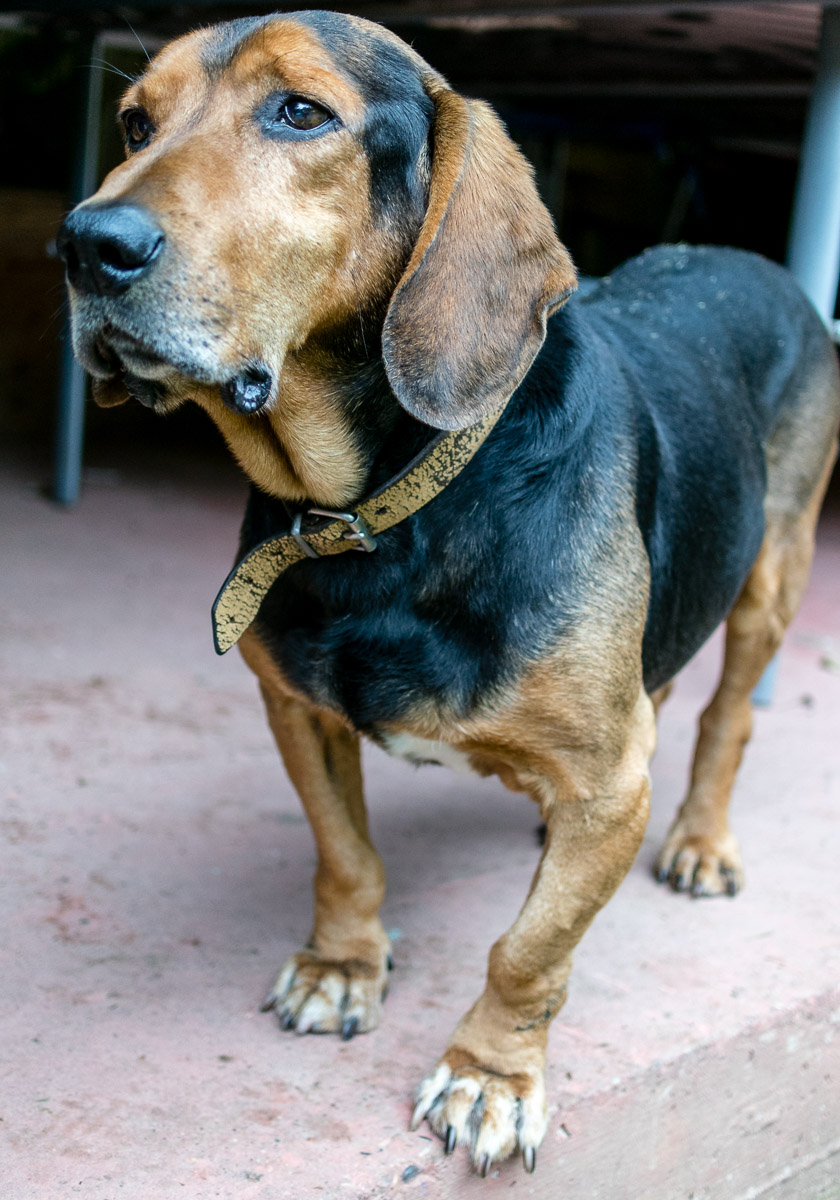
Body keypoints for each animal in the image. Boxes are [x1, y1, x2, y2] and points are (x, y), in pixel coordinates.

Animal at [57, 10, 840, 1176]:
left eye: (300, 112)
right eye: (133, 122)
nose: (83, 246)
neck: (380, 514)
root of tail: (757, 260)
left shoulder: (607, 782)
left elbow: (530, 950)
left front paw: (491, 1076)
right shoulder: (297, 709)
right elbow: (346, 856)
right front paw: (342, 967)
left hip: (773, 577)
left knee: (727, 720)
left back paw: (700, 841)